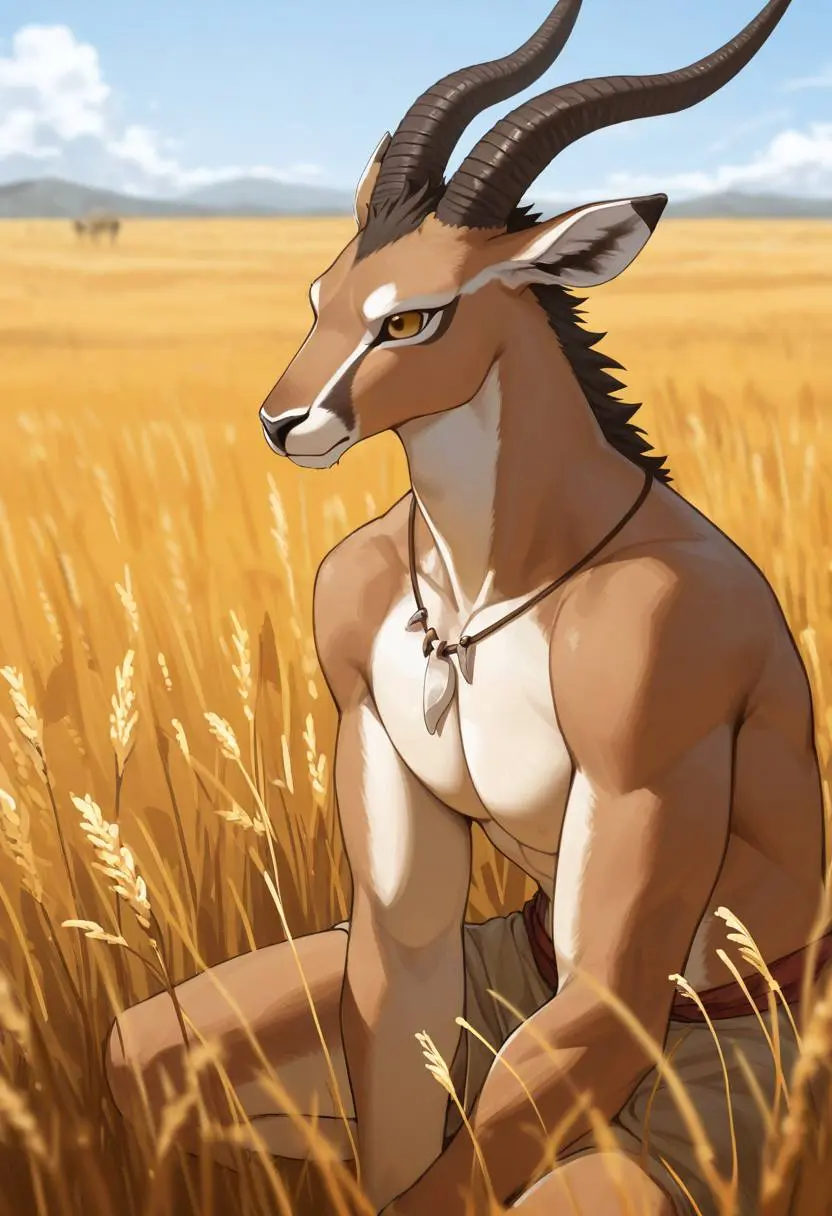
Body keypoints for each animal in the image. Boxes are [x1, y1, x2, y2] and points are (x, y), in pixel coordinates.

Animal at [107, 2, 826, 1213]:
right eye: (321, 294)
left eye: (414, 320)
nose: (282, 421)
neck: (493, 581)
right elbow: (397, 1023)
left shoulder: (658, 696)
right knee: (149, 1053)